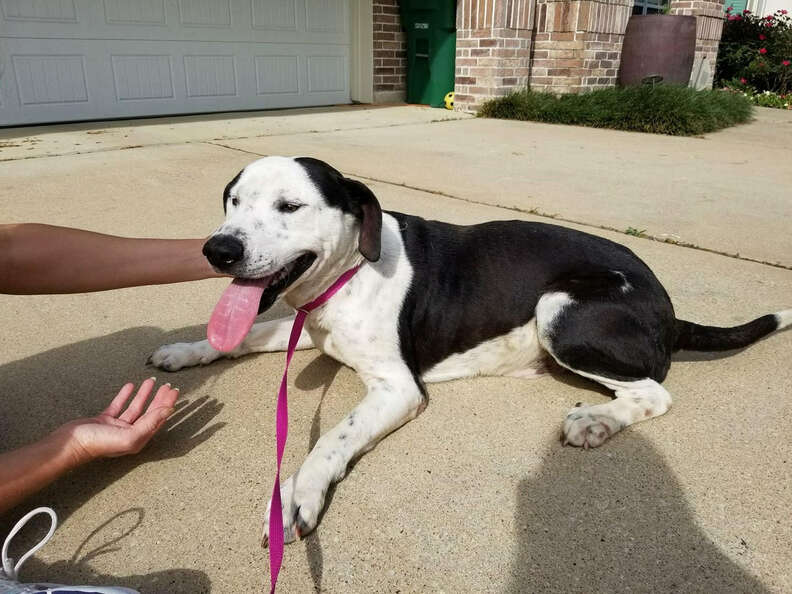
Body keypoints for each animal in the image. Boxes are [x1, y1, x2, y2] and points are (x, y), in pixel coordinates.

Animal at [150, 156, 792, 540]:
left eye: (290, 206)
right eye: (233, 201)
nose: (218, 250)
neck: (350, 269)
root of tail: (668, 307)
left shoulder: (398, 389)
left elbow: (333, 436)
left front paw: (295, 496)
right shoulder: (304, 324)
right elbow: (240, 335)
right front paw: (184, 352)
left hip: (560, 309)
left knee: (654, 392)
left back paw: (597, 420)